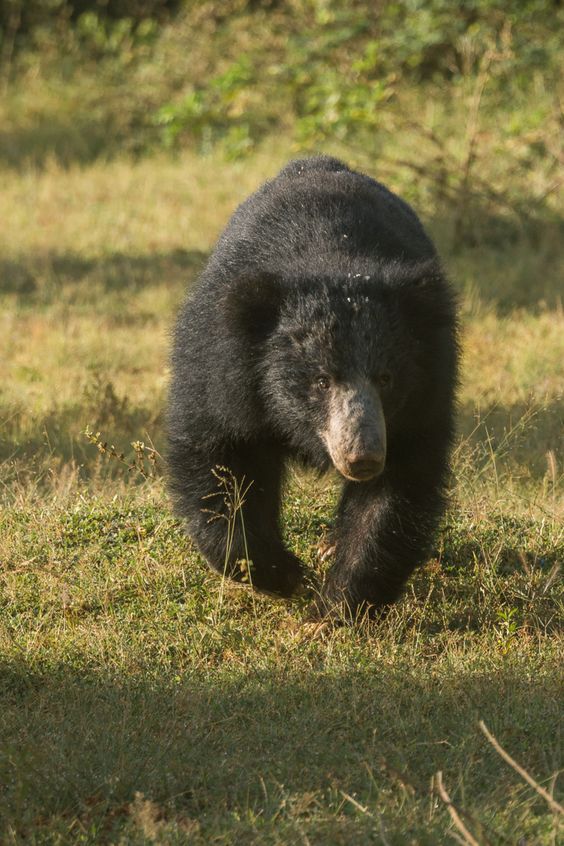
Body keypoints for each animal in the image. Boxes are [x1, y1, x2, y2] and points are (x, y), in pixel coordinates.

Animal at [167, 156, 458, 618]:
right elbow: (219, 458)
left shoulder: (423, 400)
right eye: (321, 381)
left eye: (386, 378)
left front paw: (334, 607)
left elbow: (397, 492)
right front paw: (283, 575)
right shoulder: (221, 372)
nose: (362, 458)